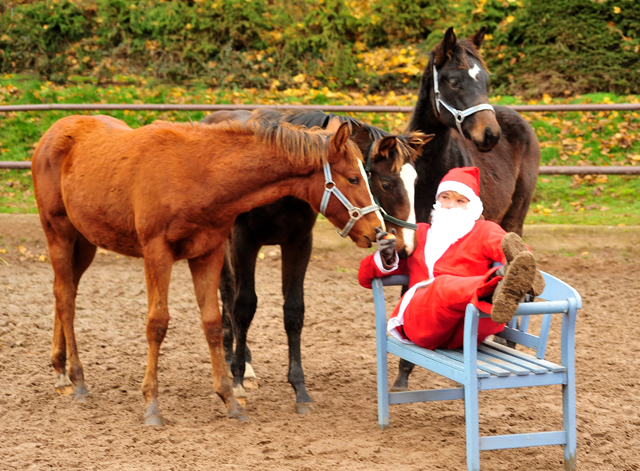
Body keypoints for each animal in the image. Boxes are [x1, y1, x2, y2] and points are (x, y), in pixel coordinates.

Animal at [31, 113, 384, 424]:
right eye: (353, 178)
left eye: (367, 177)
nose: (378, 230)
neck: (198, 171)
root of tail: (52, 132)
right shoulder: (157, 252)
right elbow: (157, 323)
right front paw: (152, 406)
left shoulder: (208, 253)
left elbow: (214, 323)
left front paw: (230, 400)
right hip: (58, 233)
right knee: (65, 298)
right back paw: (76, 380)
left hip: (84, 242)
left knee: (65, 292)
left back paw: (60, 369)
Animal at [200, 109, 430, 412]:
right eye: (386, 183)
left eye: (416, 183)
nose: (407, 246)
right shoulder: (244, 242)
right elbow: (244, 306)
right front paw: (237, 379)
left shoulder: (299, 244)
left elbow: (294, 311)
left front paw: (299, 387)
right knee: (227, 295)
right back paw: (235, 361)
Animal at [396, 27, 540, 392]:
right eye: (453, 80)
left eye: (485, 79)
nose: (489, 135)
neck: (430, 172)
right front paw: (403, 371)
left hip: (516, 214)